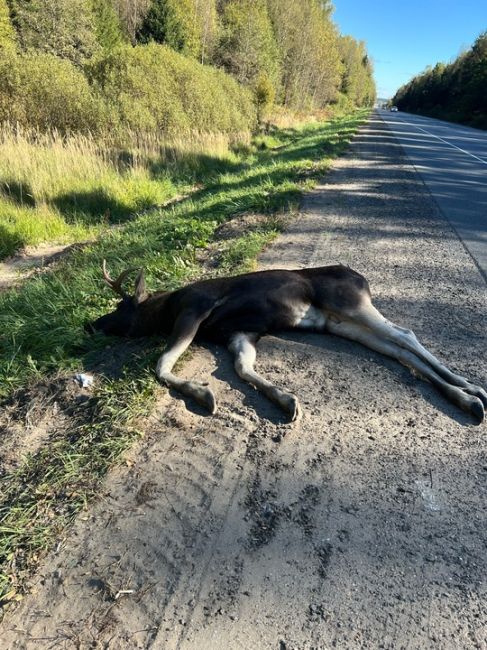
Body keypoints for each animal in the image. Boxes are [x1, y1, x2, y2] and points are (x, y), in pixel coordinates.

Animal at [88, 260, 487, 422]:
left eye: (122, 306)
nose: (92, 325)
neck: (167, 309)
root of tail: (363, 279)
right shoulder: (239, 332)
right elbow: (242, 368)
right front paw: (285, 400)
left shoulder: (195, 310)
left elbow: (162, 364)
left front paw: (202, 394)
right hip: (340, 324)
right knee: (396, 349)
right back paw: (467, 397)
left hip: (347, 301)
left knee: (405, 335)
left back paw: (471, 390)